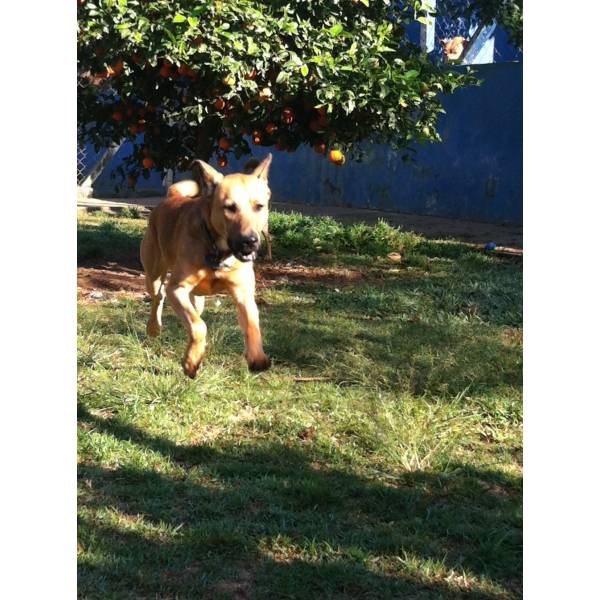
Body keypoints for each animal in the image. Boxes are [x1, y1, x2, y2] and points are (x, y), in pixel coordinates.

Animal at [139, 152, 274, 378]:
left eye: (259, 206)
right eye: (230, 207)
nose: (250, 241)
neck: (218, 252)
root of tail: (171, 196)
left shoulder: (243, 293)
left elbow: (252, 323)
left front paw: (257, 356)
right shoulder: (177, 288)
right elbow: (198, 326)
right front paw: (191, 361)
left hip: (197, 298)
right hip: (154, 272)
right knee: (158, 297)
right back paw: (154, 328)